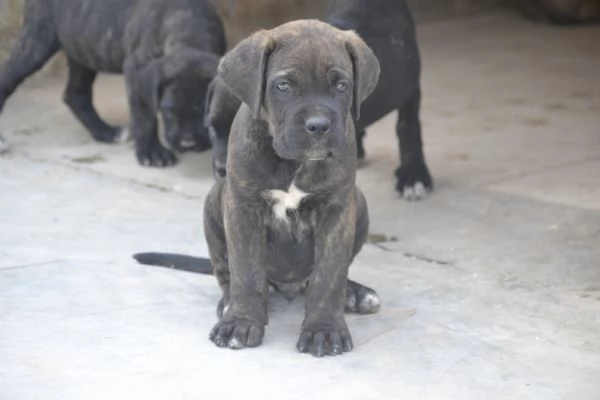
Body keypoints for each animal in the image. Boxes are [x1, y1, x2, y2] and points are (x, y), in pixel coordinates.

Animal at [0, 0, 225, 166]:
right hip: (38, 40)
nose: (188, 143)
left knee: (75, 94)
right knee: (8, 78)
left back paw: (106, 132)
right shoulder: (136, 69)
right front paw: (152, 153)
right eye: (168, 110)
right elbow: (144, 115)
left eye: (202, 111)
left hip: (84, 49)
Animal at [135, 18, 380, 356]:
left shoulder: (337, 209)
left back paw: (354, 293)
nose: (318, 126)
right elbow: (246, 271)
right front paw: (240, 322)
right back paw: (229, 304)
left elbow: (329, 275)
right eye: (283, 86)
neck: (292, 164)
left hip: (360, 202)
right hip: (215, 200)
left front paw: (324, 330)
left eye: (342, 86)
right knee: (227, 273)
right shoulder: (243, 208)